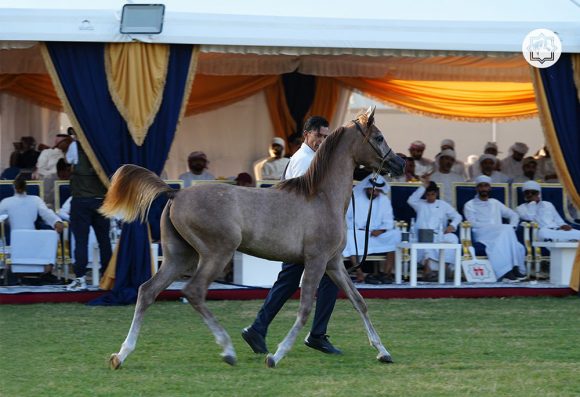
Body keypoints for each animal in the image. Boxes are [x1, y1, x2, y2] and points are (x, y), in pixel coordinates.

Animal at [101, 106, 404, 368]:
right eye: (379, 137)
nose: (399, 163)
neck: (321, 197)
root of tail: (175, 193)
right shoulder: (316, 261)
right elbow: (305, 307)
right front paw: (276, 356)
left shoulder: (334, 263)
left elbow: (358, 301)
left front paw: (383, 352)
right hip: (215, 254)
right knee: (193, 291)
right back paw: (228, 350)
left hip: (179, 257)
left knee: (147, 291)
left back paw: (121, 355)